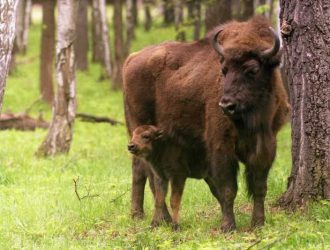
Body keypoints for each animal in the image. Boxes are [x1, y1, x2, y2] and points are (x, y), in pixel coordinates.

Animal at [123, 16, 288, 232]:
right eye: (224, 70)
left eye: (252, 69)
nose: (226, 105)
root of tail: (131, 59)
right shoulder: (221, 145)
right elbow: (228, 188)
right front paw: (228, 226)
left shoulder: (266, 144)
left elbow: (259, 186)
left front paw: (258, 223)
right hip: (142, 132)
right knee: (150, 175)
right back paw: (160, 219)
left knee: (139, 170)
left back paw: (139, 214)